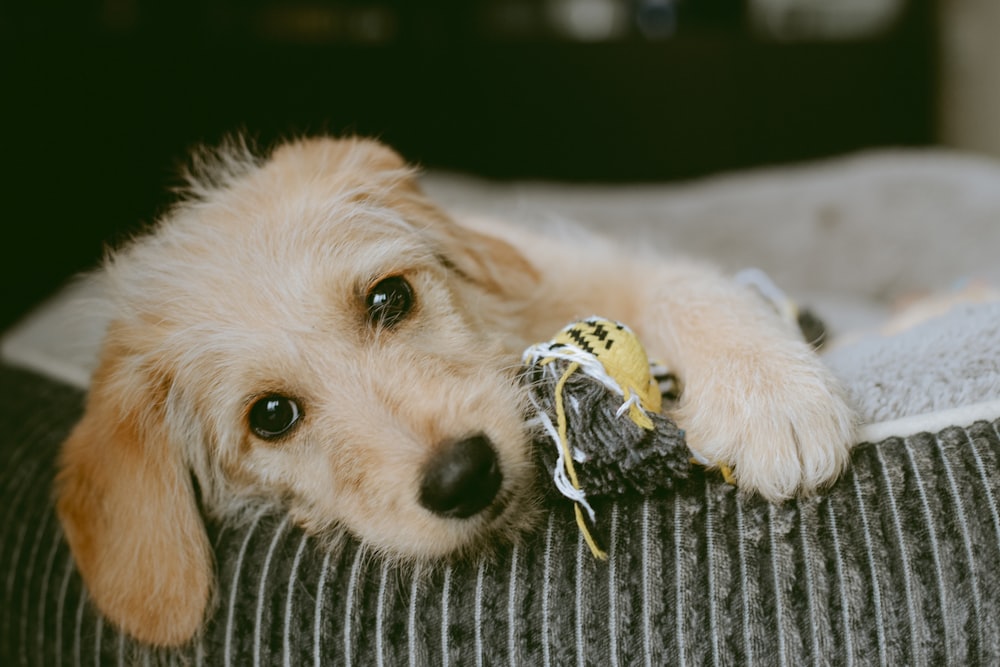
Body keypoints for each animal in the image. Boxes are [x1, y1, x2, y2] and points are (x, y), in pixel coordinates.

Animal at [52, 137, 852, 648]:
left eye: (389, 297)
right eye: (270, 415)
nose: (464, 475)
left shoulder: (593, 268)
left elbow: (686, 287)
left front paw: (772, 394)